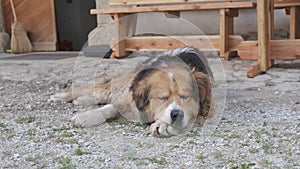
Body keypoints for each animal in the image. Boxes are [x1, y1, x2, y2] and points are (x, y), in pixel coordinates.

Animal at [52, 46, 216, 137]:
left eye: (185, 96)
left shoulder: (208, 109)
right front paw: (85, 117)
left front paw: (163, 125)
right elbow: (110, 107)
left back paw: (80, 101)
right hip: (122, 84)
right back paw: (61, 96)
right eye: (162, 98)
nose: (176, 114)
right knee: (99, 90)